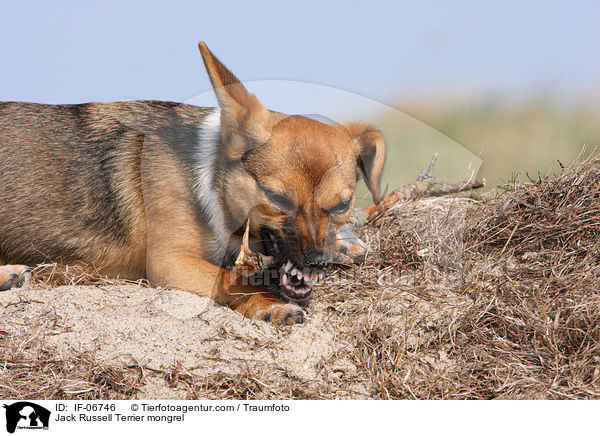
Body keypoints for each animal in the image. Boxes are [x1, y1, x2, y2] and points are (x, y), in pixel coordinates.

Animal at [0, 42, 384, 324]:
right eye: (277, 198)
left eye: (342, 205)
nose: (317, 260)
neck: (211, 181)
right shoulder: (171, 263)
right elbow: (231, 278)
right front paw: (268, 303)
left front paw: (346, 243)